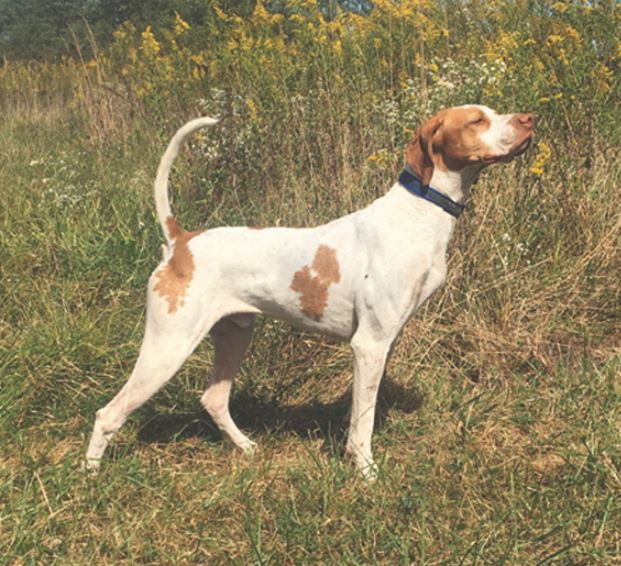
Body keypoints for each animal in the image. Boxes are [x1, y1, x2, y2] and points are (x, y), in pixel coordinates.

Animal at [86, 103, 532, 480]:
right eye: (477, 120)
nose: (528, 119)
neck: (417, 213)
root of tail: (181, 241)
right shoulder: (369, 344)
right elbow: (362, 421)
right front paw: (366, 472)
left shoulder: (383, 343)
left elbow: (366, 409)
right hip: (168, 346)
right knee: (108, 413)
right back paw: (91, 477)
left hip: (234, 335)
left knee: (213, 399)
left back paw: (246, 447)